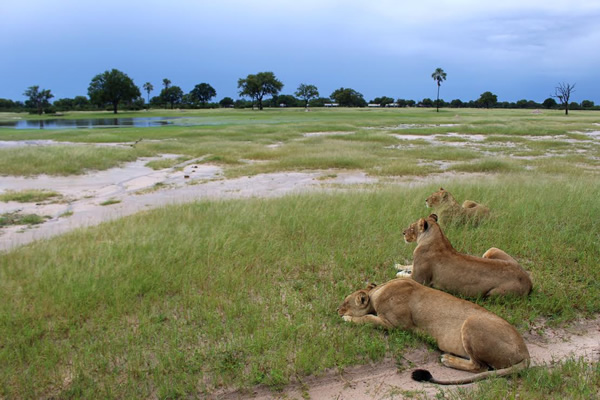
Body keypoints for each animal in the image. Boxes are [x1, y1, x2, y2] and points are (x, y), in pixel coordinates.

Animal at [338, 278, 528, 384]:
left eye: (346, 302)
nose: (337, 310)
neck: (379, 290)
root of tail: (525, 351)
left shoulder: (394, 324)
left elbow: (367, 319)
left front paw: (347, 319)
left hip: (472, 322)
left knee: (480, 367)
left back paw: (448, 359)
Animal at [396, 216, 532, 296]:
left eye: (412, 228)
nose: (403, 233)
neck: (437, 237)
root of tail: (529, 280)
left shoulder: (419, 280)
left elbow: (403, 276)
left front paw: (399, 272)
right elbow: (409, 265)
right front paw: (398, 265)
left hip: (493, 293)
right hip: (492, 250)